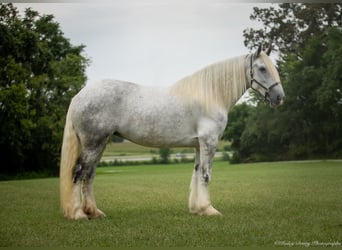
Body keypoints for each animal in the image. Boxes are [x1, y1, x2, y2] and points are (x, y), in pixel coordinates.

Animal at [60, 44, 284, 219]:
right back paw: (78, 214)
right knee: (78, 173)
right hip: (93, 143)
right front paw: (209, 209)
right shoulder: (209, 142)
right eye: (262, 68)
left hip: (100, 144)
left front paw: (197, 209)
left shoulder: (198, 145)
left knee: (89, 175)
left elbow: (196, 174)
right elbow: (206, 175)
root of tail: (79, 96)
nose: (279, 97)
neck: (211, 95)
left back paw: (94, 212)